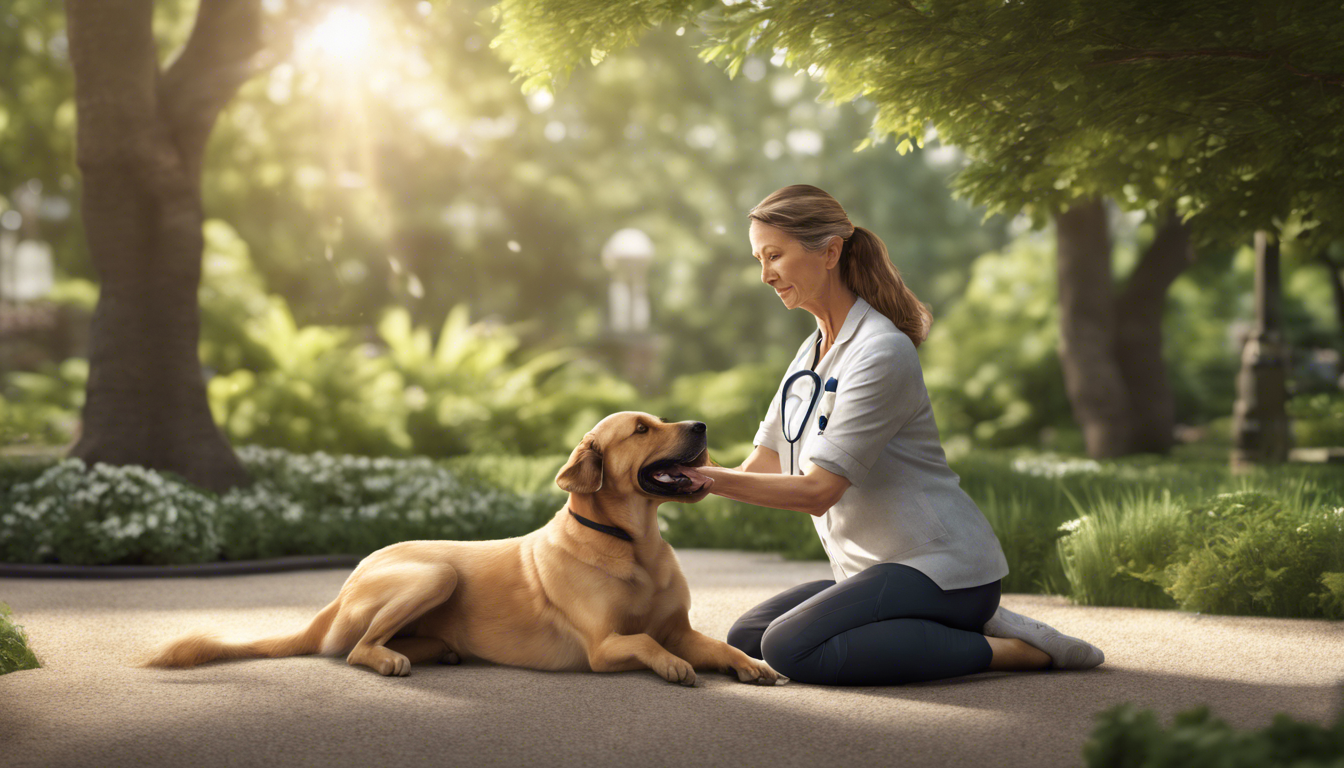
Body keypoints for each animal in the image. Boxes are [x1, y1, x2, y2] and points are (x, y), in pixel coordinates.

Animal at [135, 411, 784, 688]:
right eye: (642, 429)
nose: (701, 426)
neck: (635, 542)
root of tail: (342, 587)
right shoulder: (604, 646)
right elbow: (648, 643)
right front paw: (674, 667)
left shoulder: (681, 627)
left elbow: (713, 644)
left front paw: (749, 663)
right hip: (435, 574)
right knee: (355, 650)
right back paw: (389, 660)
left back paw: (434, 652)